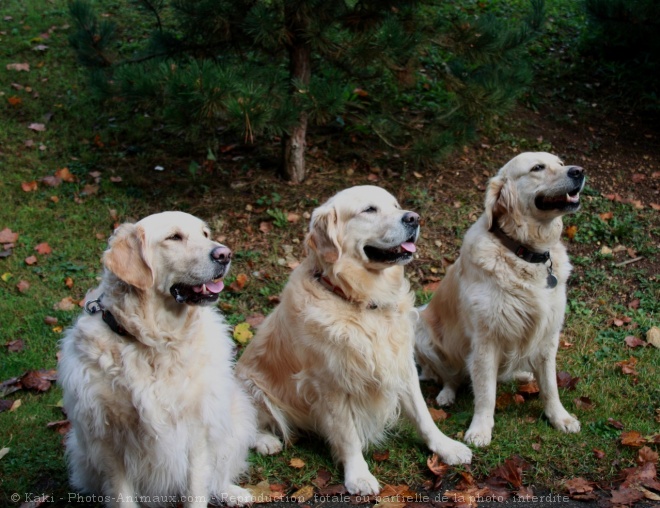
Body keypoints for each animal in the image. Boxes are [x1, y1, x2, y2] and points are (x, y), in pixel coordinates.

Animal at [58, 212, 255, 506]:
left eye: (205, 234)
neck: (156, 343)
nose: (225, 254)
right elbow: (122, 495)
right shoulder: (109, 437)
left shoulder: (198, 428)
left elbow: (197, 488)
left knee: (218, 476)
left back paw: (234, 493)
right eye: (174, 237)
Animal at [235, 185, 472, 494]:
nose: (414, 218)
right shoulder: (330, 382)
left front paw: (447, 447)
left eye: (396, 206)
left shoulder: (401, 365)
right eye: (369, 210)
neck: (361, 301)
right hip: (250, 386)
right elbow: (347, 435)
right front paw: (358, 475)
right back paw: (266, 441)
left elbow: (424, 415)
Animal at [416, 153, 584, 446]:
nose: (579, 171)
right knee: (450, 376)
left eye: (561, 163)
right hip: (422, 333)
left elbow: (550, 386)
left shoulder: (549, 335)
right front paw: (480, 429)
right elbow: (486, 393)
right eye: (537, 168)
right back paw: (446, 394)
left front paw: (559, 418)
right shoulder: (486, 340)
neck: (524, 253)